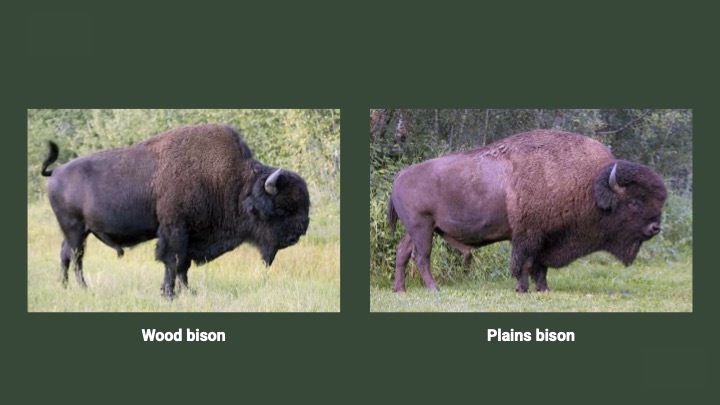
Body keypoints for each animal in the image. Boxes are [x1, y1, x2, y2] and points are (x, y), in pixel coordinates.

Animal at [41, 124, 310, 299]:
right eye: (281, 208)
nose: (297, 234)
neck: (232, 182)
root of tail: (56, 172)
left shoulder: (191, 235)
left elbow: (184, 266)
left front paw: (187, 292)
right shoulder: (175, 230)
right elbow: (174, 262)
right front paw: (169, 294)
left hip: (77, 232)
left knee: (66, 255)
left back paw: (65, 287)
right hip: (75, 230)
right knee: (76, 258)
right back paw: (83, 288)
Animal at [387, 130, 667, 292]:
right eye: (635, 202)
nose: (655, 227)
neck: (586, 184)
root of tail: (399, 176)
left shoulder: (546, 238)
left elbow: (539, 266)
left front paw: (544, 289)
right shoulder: (528, 235)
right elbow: (524, 263)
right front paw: (523, 288)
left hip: (415, 230)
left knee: (402, 253)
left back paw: (400, 290)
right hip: (422, 228)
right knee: (421, 257)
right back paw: (434, 289)